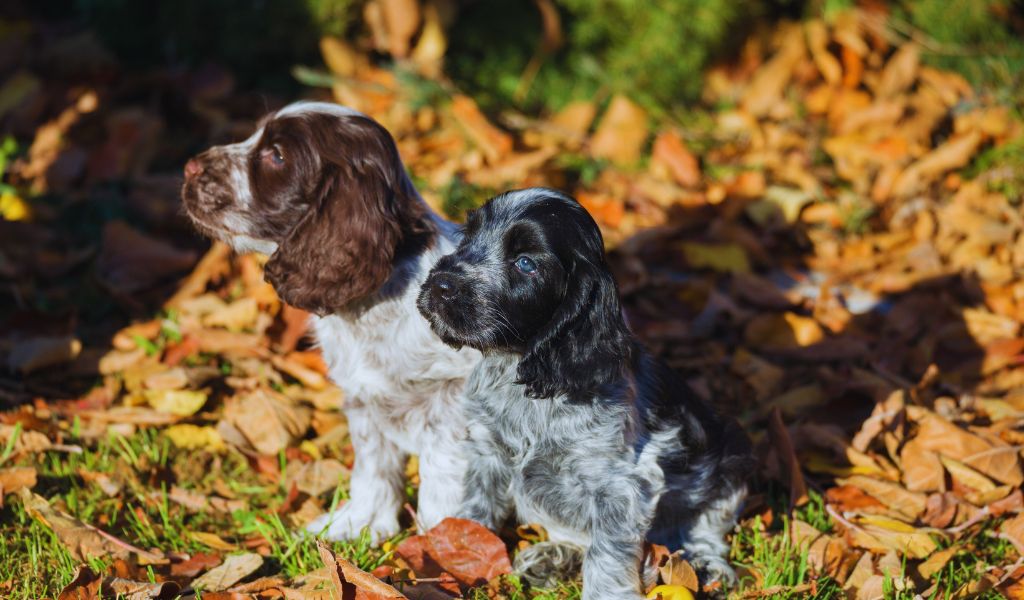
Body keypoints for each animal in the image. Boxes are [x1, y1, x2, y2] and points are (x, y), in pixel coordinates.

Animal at [183, 101, 479, 540]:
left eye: (277, 155)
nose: (189, 167)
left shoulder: (453, 397)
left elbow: (442, 474)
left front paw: (445, 542)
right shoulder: (364, 398)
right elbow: (373, 465)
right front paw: (360, 524)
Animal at [413, 188, 753, 597]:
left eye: (526, 263)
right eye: (469, 238)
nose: (440, 285)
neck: (523, 373)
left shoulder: (621, 486)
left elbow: (606, 555)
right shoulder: (487, 453)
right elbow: (476, 512)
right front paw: (458, 556)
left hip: (730, 458)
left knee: (706, 529)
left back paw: (705, 567)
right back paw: (552, 559)